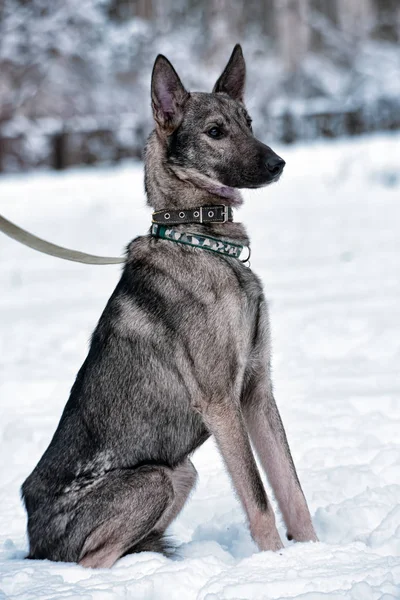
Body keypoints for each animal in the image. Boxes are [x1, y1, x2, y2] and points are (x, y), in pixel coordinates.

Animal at [21, 45, 318, 568]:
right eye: (215, 132)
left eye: (249, 122)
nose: (278, 163)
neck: (201, 239)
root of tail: (36, 543)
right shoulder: (221, 401)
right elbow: (259, 499)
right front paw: (275, 566)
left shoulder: (257, 389)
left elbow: (291, 491)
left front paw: (316, 559)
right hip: (156, 477)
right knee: (91, 562)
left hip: (181, 472)